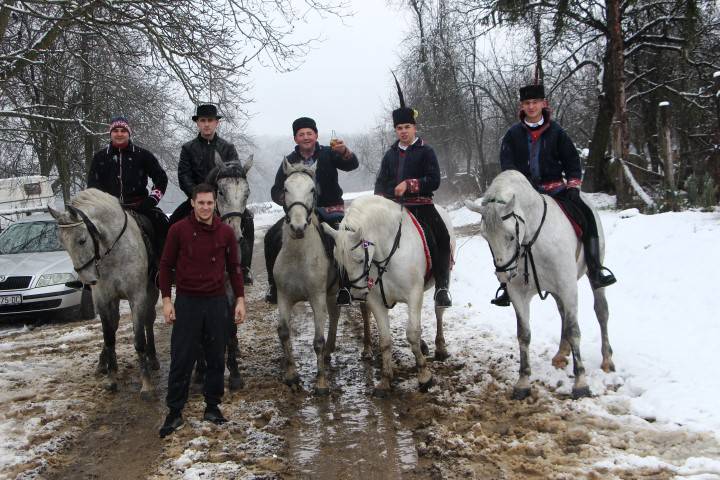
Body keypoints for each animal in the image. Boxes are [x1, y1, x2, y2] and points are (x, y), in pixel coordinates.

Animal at [49, 189, 159, 400]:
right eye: (62, 243)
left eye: (82, 240)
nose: (87, 280)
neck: (113, 252)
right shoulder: (102, 299)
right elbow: (109, 337)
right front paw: (111, 378)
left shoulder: (137, 297)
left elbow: (139, 339)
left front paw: (147, 384)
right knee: (115, 325)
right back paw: (102, 363)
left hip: (152, 291)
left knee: (149, 321)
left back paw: (153, 359)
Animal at [274, 159, 342, 396]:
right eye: (285, 188)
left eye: (312, 189)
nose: (297, 226)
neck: (297, 256)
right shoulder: (284, 297)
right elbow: (284, 333)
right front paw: (291, 376)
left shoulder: (316, 297)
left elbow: (317, 341)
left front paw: (321, 384)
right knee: (336, 314)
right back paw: (330, 351)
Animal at [322, 193, 456, 396]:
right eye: (338, 261)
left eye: (359, 259)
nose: (357, 293)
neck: (386, 252)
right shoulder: (376, 301)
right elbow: (385, 340)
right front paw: (385, 380)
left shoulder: (414, 294)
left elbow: (412, 333)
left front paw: (424, 377)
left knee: (438, 310)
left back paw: (440, 347)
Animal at [466, 171, 612, 400]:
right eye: (485, 237)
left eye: (510, 236)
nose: (503, 275)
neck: (531, 240)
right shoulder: (518, 294)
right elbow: (524, 334)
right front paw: (523, 382)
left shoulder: (568, 287)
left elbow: (574, 330)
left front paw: (580, 382)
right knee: (562, 313)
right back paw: (561, 353)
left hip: (590, 277)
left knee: (601, 311)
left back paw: (607, 359)